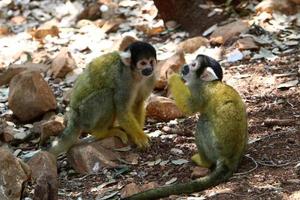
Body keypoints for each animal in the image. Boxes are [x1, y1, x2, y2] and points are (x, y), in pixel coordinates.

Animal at [125, 54, 248, 199]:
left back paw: (204, 162)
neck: (209, 82)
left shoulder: (199, 90)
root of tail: (229, 160)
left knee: (203, 123)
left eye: (193, 65)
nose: (185, 66)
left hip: (215, 148)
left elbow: (188, 108)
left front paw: (172, 75)